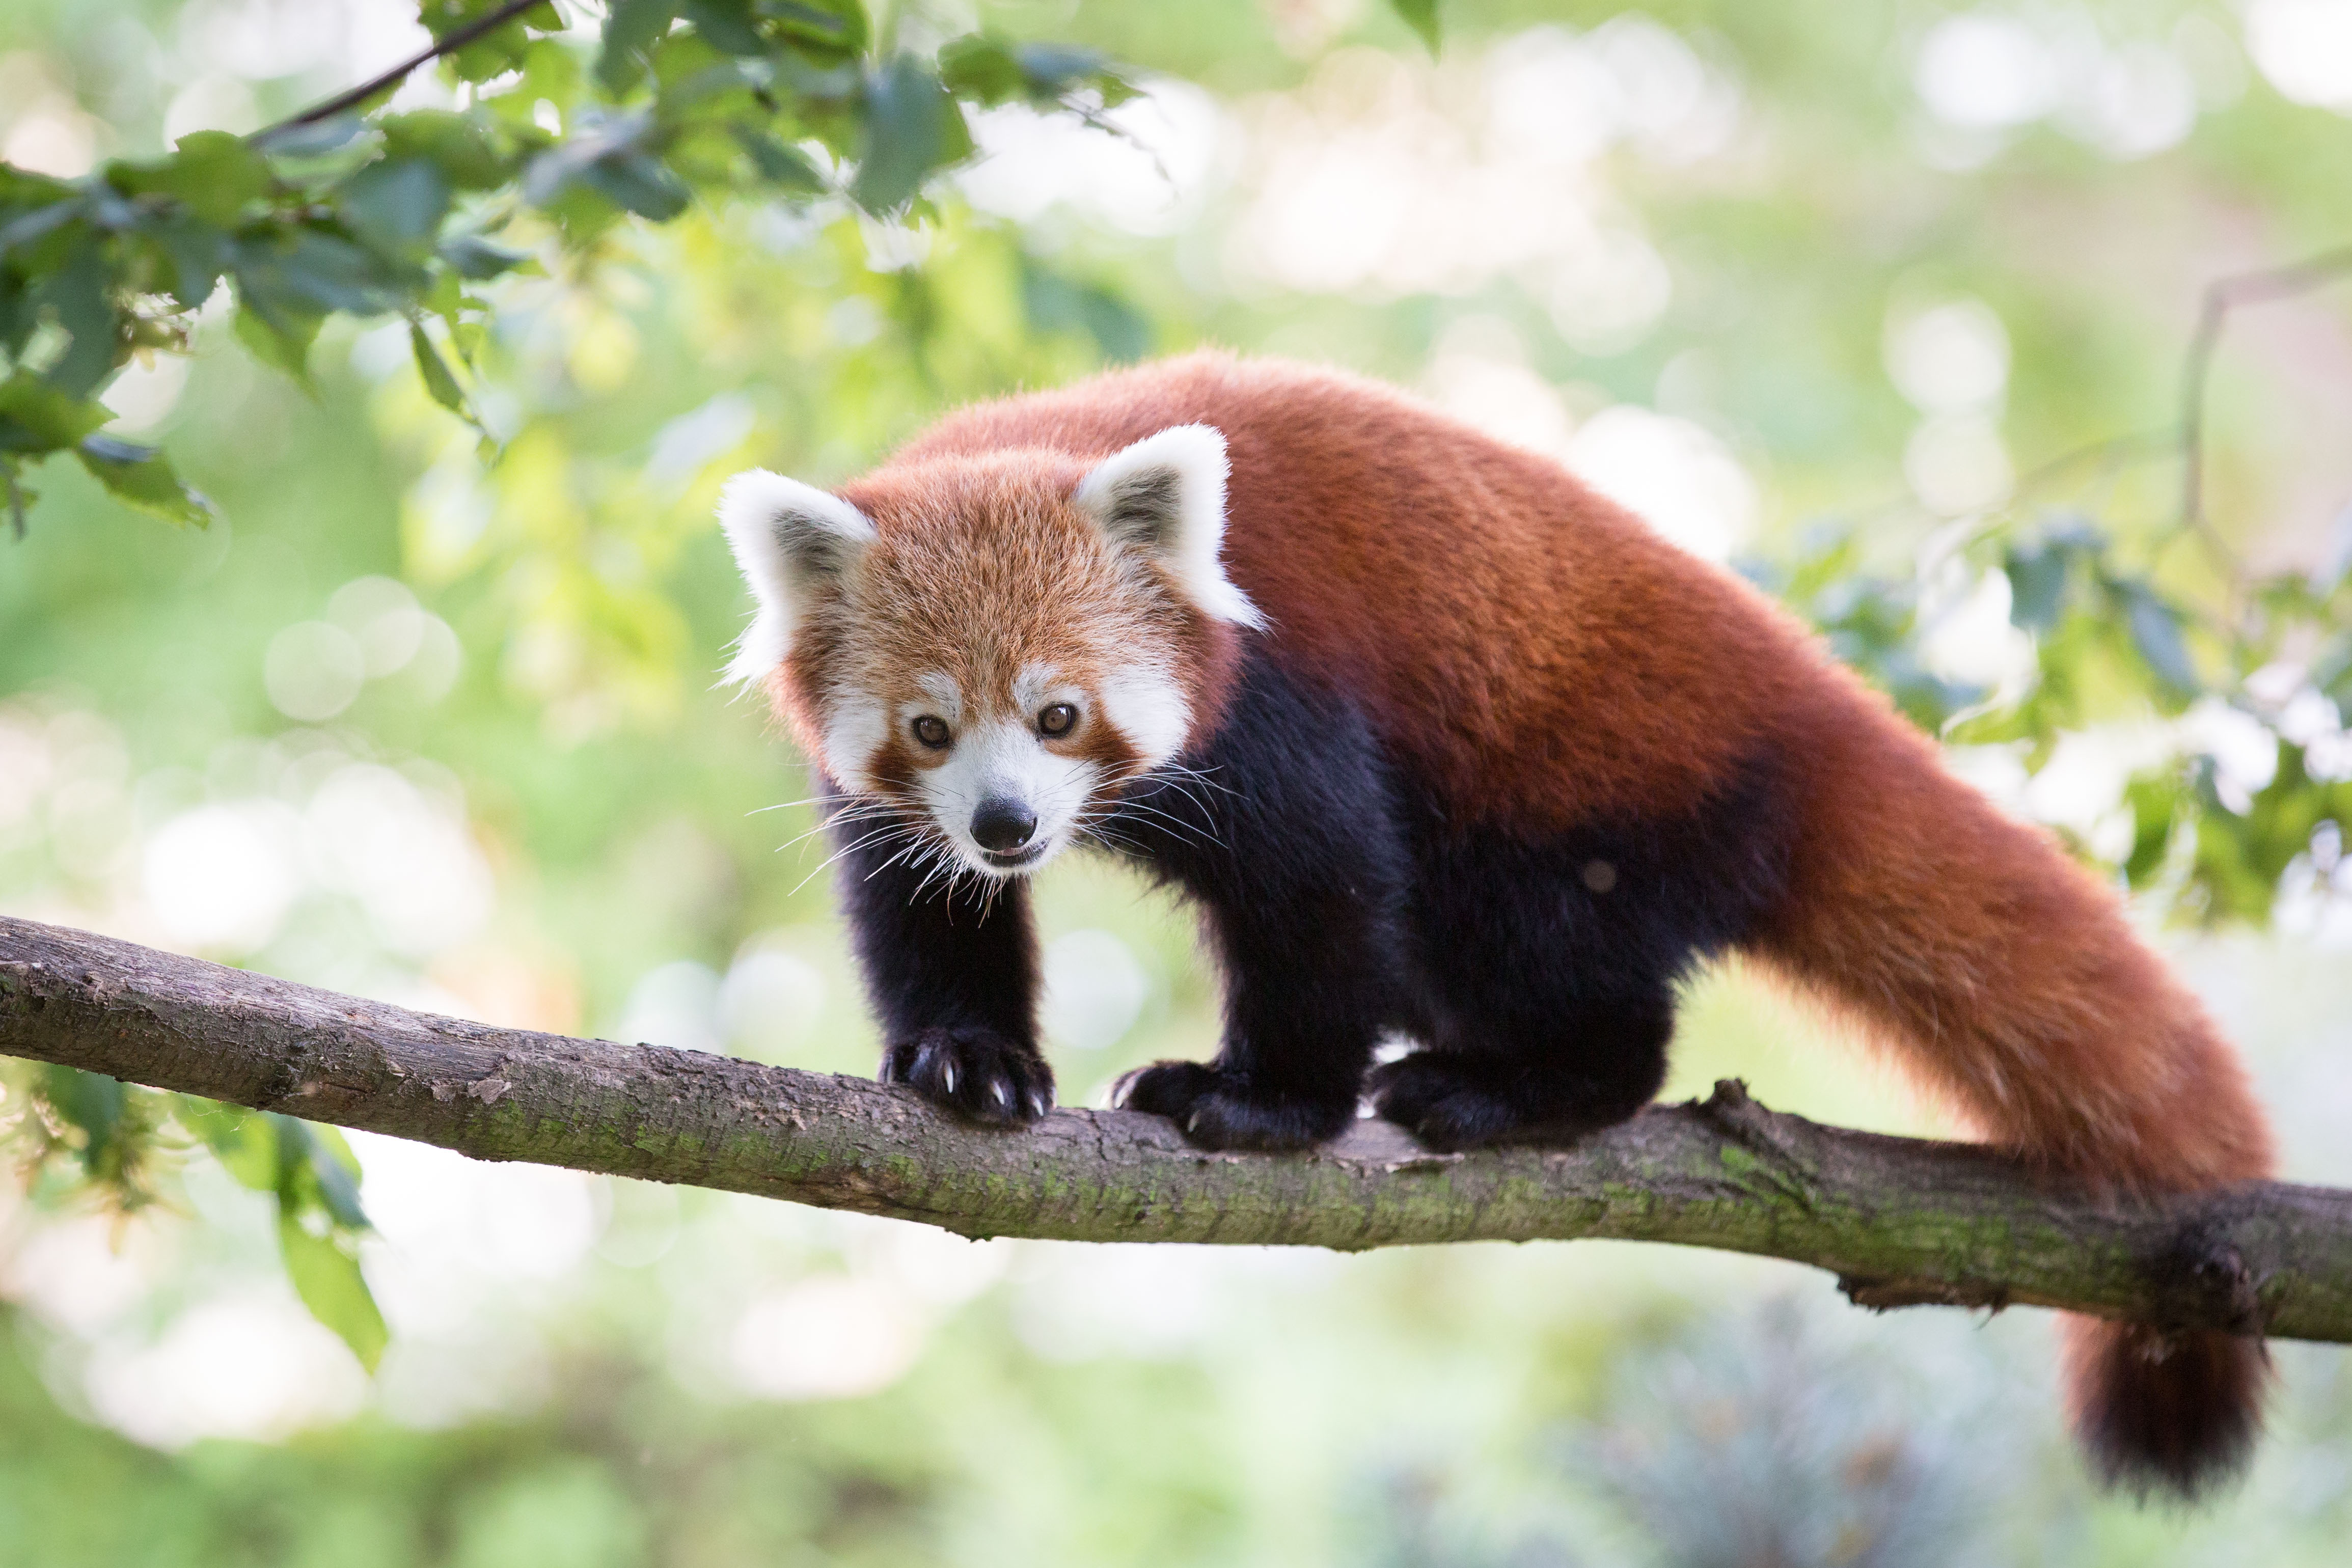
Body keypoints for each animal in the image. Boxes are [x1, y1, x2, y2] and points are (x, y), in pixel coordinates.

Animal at [715, 350, 2277, 1504]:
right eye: (930, 727)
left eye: (1057, 712)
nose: (1004, 824)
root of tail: (1801, 712)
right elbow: (920, 906)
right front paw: (968, 1058)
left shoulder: (1285, 694)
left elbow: (1320, 890)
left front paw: (1264, 1101)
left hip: (1570, 790)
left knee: (1552, 961)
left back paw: (1512, 1085)